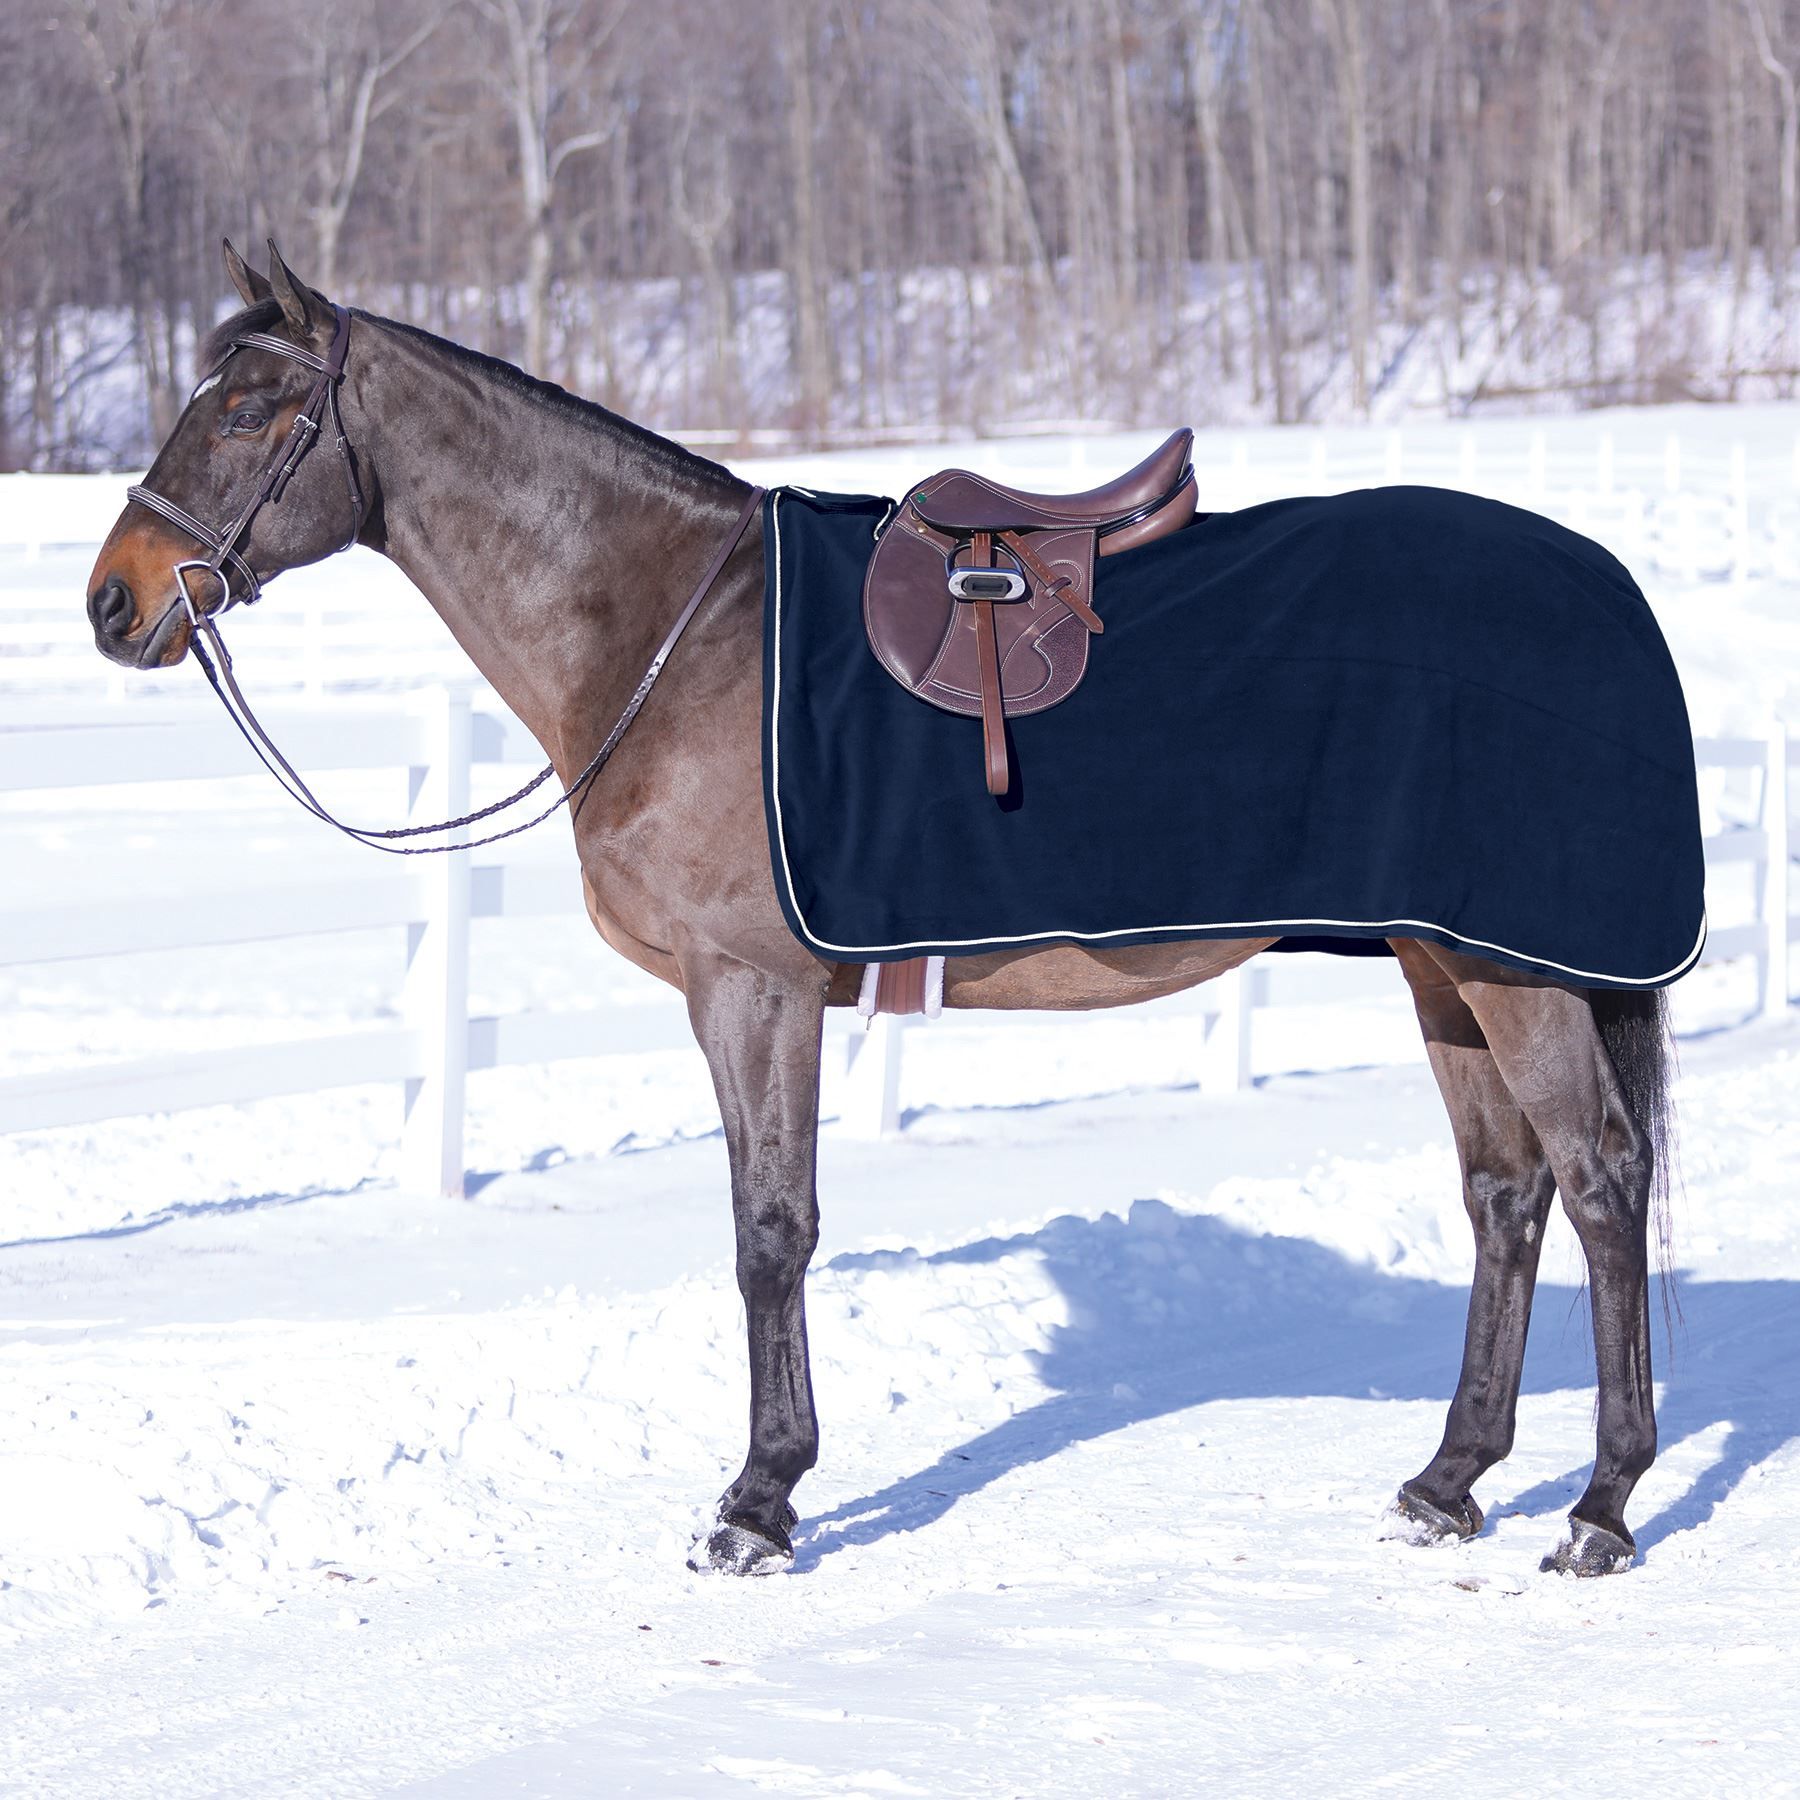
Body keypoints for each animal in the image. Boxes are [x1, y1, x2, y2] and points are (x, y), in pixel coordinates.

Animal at [86, 240, 1675, 1580]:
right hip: (1443, 966)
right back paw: (1450, 1482)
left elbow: (769, 1232)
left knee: (1599, 1180)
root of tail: (1603, 582)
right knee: (1507, 1192)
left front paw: (758, 1502)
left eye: (248, 410)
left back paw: (1600, 1506)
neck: (668, 628)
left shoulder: (755, 987)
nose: (112, 601)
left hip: (1512, 972)